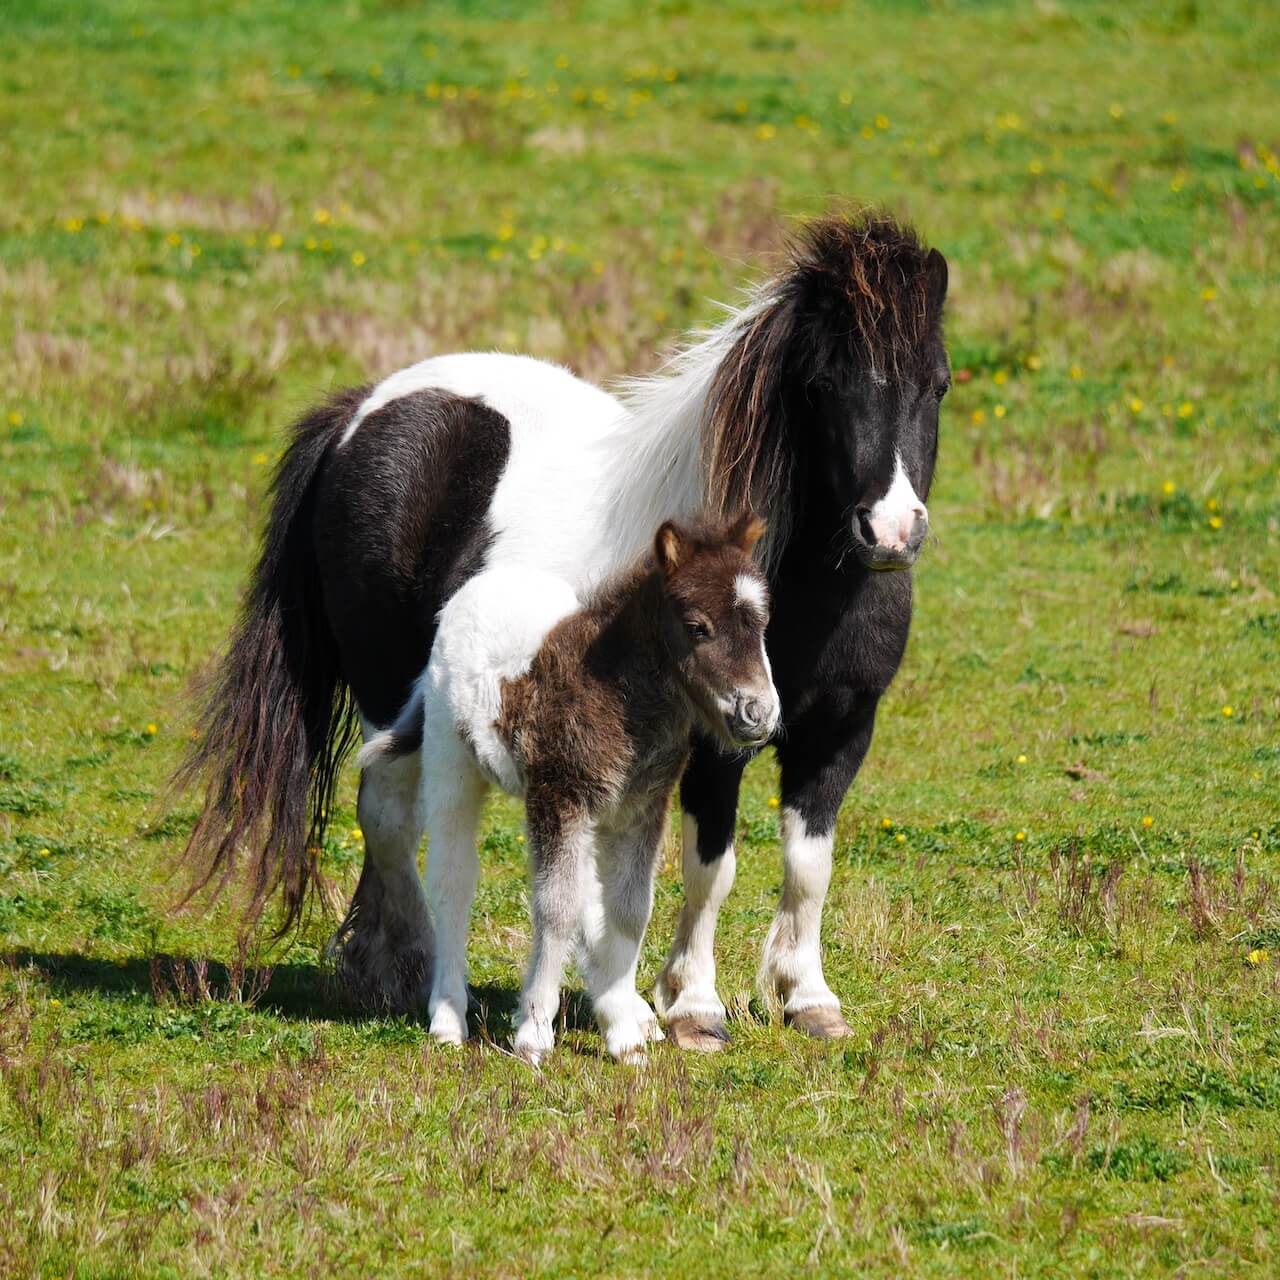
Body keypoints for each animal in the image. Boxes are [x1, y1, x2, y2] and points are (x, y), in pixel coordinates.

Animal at [360, 509, 778, 1059]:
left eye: (762, 623)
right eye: (697, 627)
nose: (760, 714)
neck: (614, 694)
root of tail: (479, 587)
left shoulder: (641, 808)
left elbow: (628, 910)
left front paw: (623, 1031)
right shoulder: (559, 796)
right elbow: (555, 908)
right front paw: (533, 1033)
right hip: (451, 762)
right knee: (453, 879)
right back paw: (448, 1017)